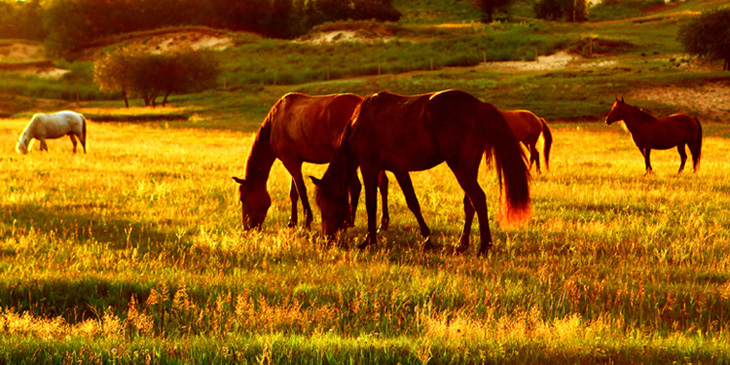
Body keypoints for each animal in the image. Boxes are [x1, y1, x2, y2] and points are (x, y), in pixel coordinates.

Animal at [233, 92, 392, 229]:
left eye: (243, 198)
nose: (247, 227)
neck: (275, 122)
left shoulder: (290, 161)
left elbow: (301, 190)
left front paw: (306, 221)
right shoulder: (295, 161)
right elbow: (294, 193)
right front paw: (292, 221)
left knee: (356, 186)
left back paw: (350, 221)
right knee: (382, 183)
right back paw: (382, 222)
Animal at [308, 89, 528, 255]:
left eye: (323, 202)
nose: (326, 238)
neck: (360, 122)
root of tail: (478, 105)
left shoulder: (369, 168)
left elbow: (371, 205)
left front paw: (368, 241)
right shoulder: (399, 169)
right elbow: (412, 202)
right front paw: (427, 240)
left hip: (460, 167)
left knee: (479, 199)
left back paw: (484, 247)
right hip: (470, 166)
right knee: (470, 203)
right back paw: (462, 245)